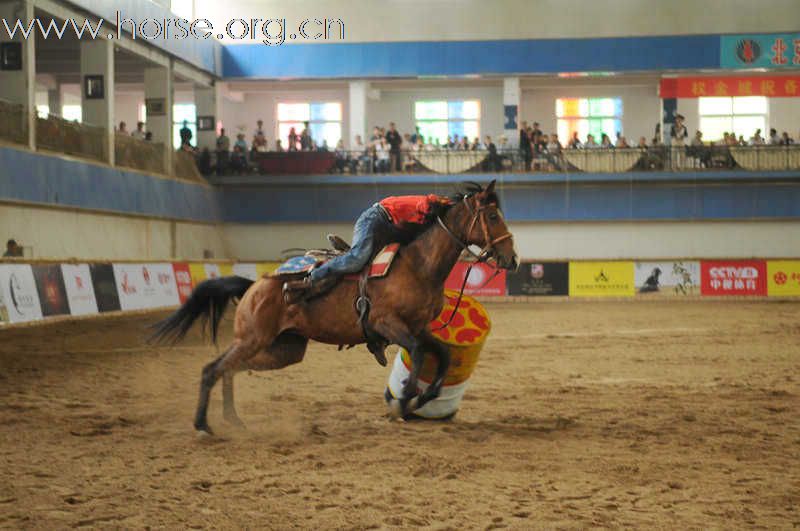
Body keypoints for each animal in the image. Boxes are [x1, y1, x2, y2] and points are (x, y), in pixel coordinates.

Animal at [152, 181, 520, 434]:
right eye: (491, 215)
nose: (512, 259)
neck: (419, 265)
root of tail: (255, 285)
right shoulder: (388, 324)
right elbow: (417, 354)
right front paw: (403, 401)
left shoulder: (417, 328)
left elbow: (441, 356)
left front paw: (421, 398)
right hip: (254, 338)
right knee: (212, 369)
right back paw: (204, 424)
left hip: (283, 348)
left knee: (227, 369)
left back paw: (232, 419)